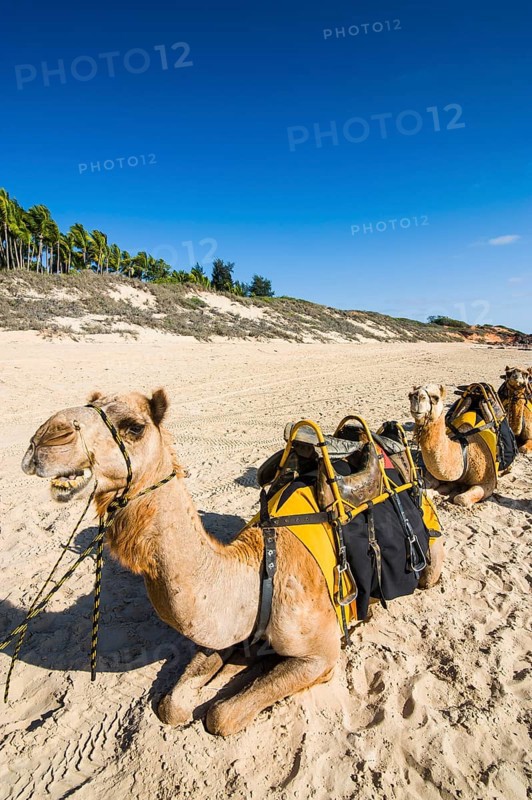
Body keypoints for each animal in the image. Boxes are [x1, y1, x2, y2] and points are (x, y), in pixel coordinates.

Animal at [21, 389, 443, 736]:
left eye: (134, 427)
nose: (45, 438)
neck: (259, 571)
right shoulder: (220, 633)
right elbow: (172, 706)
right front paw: (234, 666)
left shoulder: (321, 653)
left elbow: (220, 716)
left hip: (430, 553)